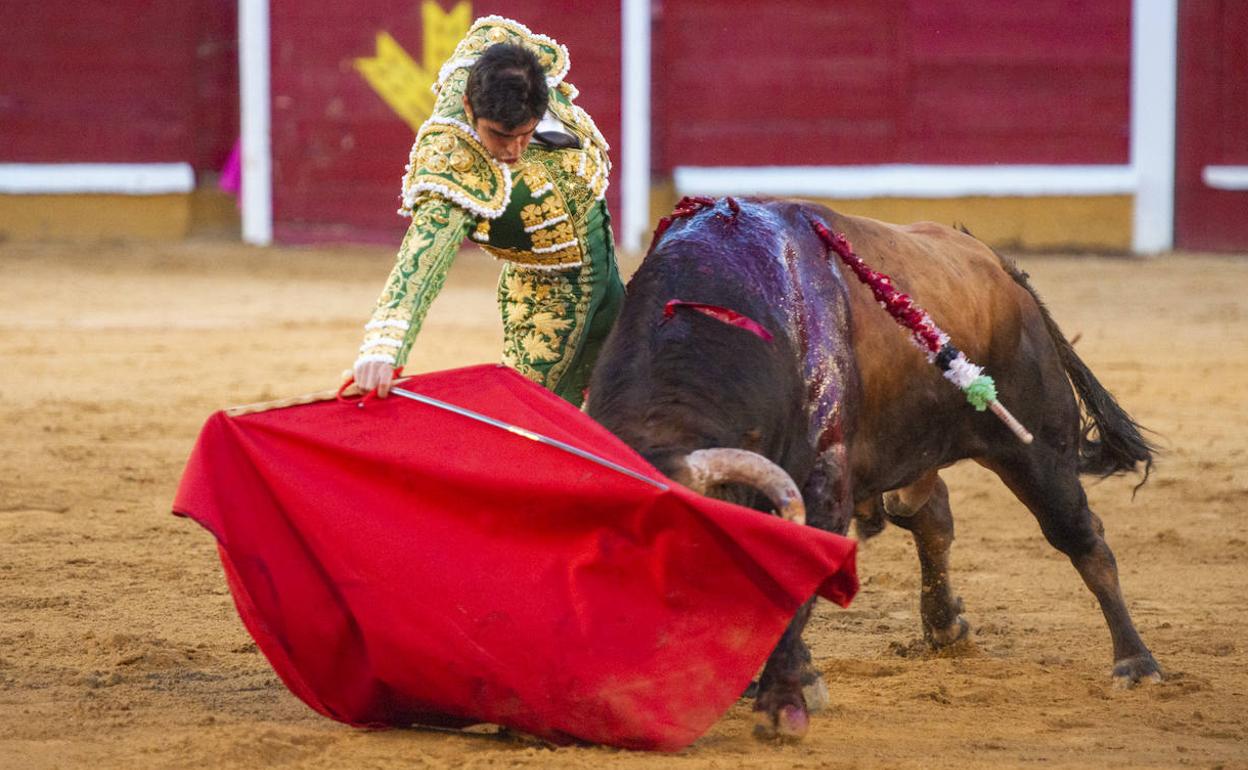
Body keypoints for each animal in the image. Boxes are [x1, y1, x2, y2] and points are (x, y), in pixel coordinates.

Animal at [584, 194, 1158, 743]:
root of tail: (999, 267)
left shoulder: (821, 490)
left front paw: (783, 703)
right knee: (929, 515)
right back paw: (945, 627)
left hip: (1039, 447)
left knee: (1080, 536)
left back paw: (1135, 664)